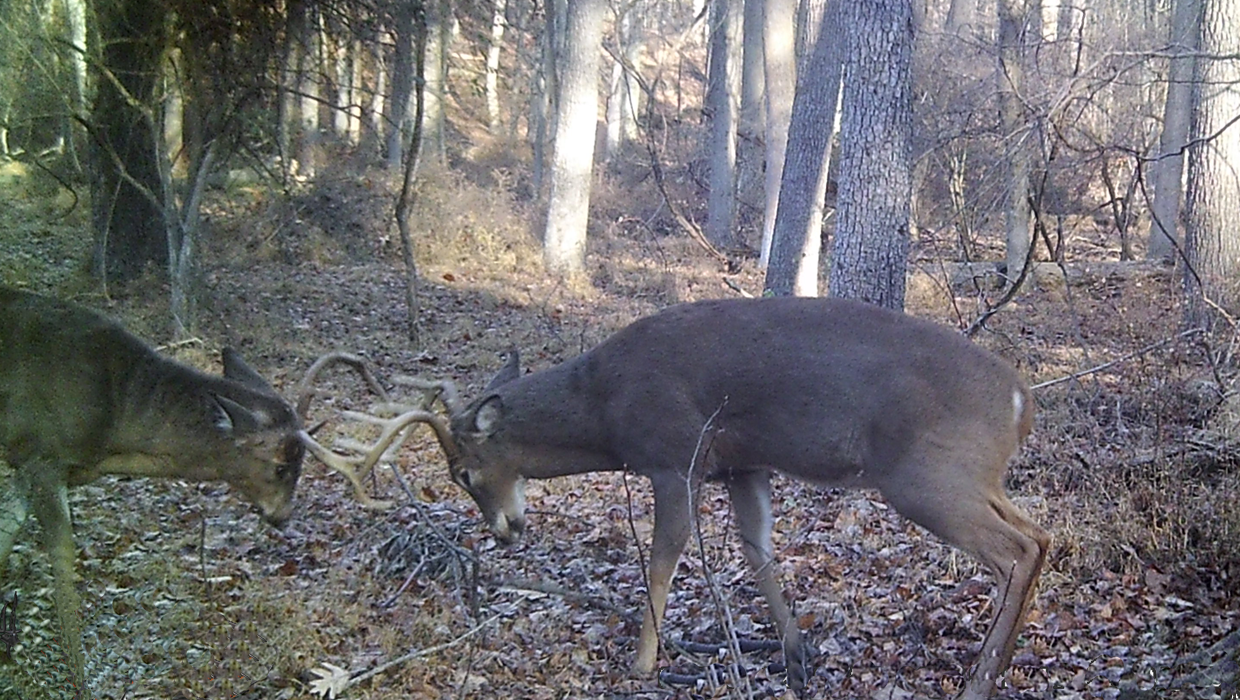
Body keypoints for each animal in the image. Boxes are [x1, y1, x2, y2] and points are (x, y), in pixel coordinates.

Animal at [0, 286, 307, 688]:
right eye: (281, 467)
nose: (284, 517)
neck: (116, 426)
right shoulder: (42, 456)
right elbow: (63, 565)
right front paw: (79, 680)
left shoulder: (23, 461)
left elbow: (6, 533)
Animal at [297, 296, 1046, 698]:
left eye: (463, 474)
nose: (505, 532)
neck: (603, 409)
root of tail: (1020, 400)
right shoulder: (742, 465)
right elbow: (758, 551)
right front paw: (794, 653)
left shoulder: (672, 455)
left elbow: (663, 558)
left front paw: (642, 661)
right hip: (972, 477)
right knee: (1040, 536)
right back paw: (998, 662)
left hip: (926, 478)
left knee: (1015, 551)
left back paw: (981, 677)